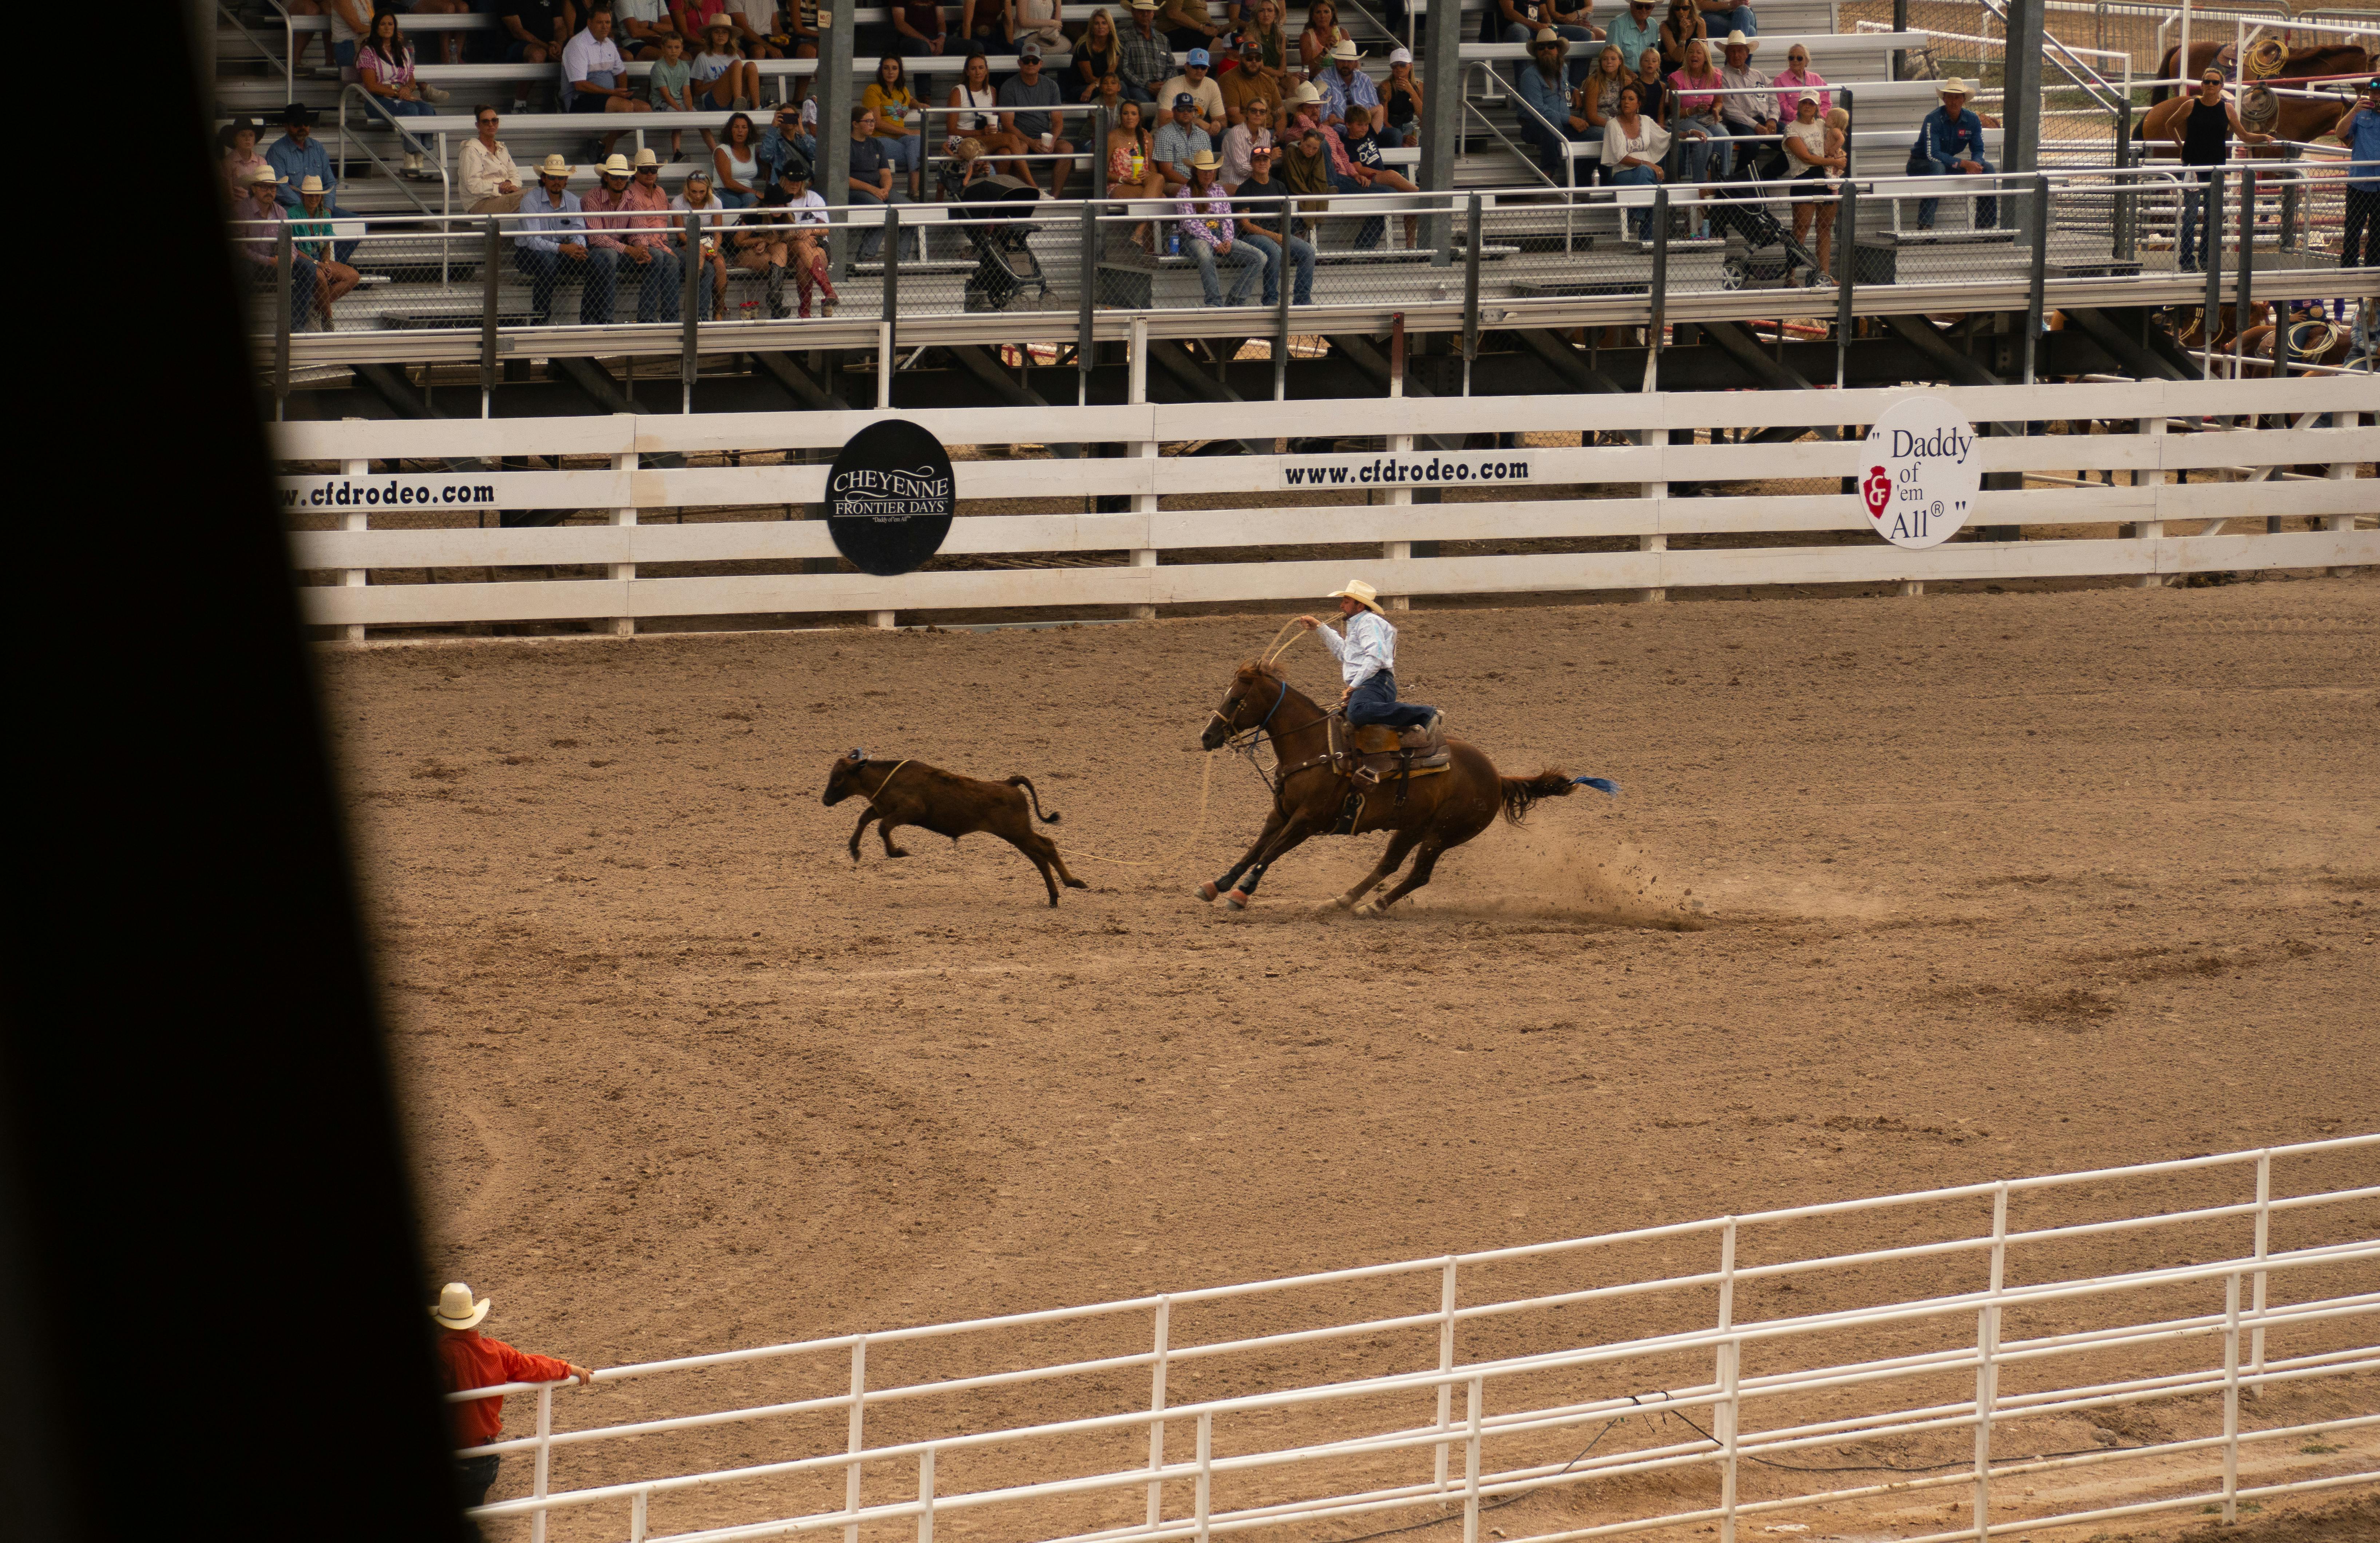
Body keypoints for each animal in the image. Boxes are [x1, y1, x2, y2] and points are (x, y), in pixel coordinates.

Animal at [814, 752, 1085, 905]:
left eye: (838, 778)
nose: (825, 801)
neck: (885, 779)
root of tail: (1008, 783)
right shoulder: (881, 808)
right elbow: (865, 819)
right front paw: (854, 850)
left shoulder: (909, 812)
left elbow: (882, 828)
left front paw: (898, 852)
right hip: (1018, 834)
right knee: (1042, 853)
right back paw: (1055, 896)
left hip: (1017, 832)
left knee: (1045, 850)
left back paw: (1071, 884)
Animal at [1190, 662, 1618, 914]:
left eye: (1236, 698)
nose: (1207, 736)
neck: (1314, 747)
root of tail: (1497, 778)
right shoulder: (1280, 812)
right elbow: (1255, 848)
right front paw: (1217, 884)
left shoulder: (1307, 821)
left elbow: (1271, 852)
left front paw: (1242, 893)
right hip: (1410, 826)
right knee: (1389, 864)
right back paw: (1344, 900)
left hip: (1441, 834)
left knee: (1418, 874)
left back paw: (1375, 905)